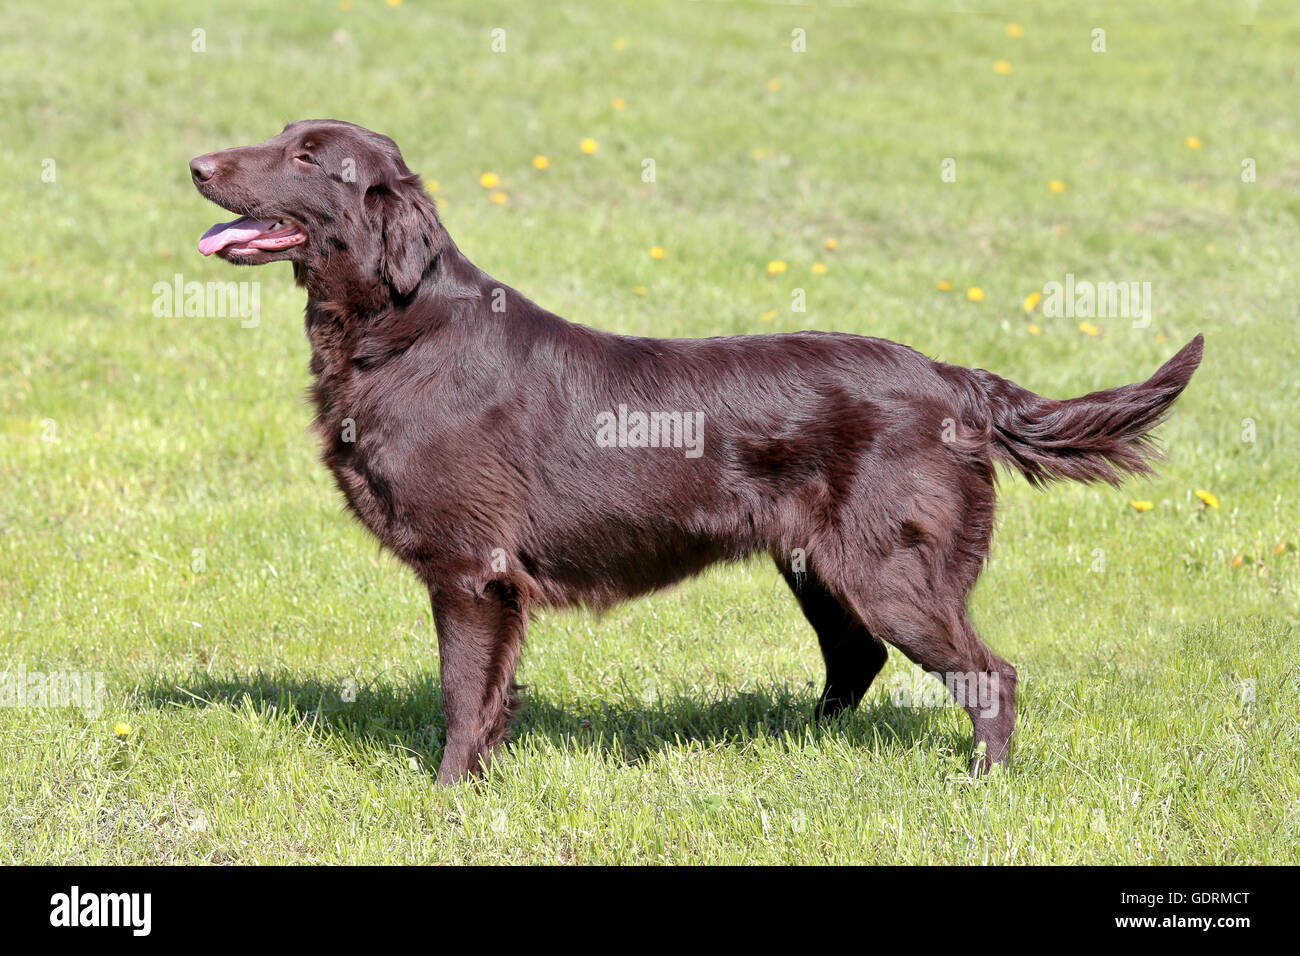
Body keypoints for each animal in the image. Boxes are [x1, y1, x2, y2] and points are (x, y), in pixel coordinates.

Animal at [189, 119, 1196, 785]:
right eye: (282, 137)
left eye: (307, 157)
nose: (194, 164)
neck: (396, 330)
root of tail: (954, 380)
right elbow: (492, 698)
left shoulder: (473, 571)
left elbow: (461, 695)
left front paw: (444, 799)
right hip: (818, 565)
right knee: (856, 660)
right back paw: (799, 745)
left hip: (890, 570)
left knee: (989, 675)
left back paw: (979, 785)